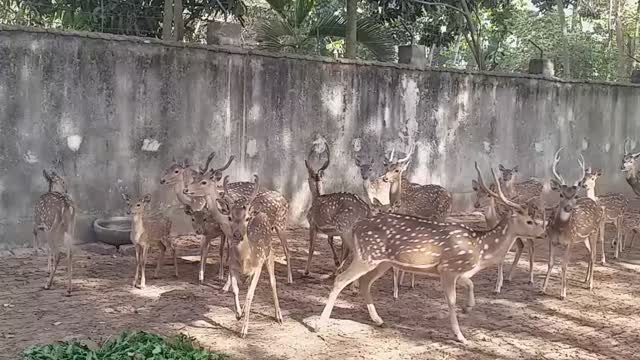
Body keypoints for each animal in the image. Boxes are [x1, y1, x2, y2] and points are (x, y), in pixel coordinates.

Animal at [316, 162, 544, 344]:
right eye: (529, 221)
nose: (542, 233)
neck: (481, 249)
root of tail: (357, 226)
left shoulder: (460, 272)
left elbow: (470, 285)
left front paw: (468, 307)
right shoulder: (448, 269)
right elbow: (451, 302)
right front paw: (461, 336)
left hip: (382, 261)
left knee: (364, 282)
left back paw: (379, 320)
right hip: (367, 256)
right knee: (341, 279)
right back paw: (320, 325)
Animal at [540, 148, 604, 300]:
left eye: (575, 196)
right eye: (561, 194)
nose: (569, 207)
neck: (560, 229)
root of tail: (593, 202)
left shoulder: (570, 241)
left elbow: (564, 265)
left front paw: (563, 293)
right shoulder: (551, 239)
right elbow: (550, 263)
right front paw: (543, 288)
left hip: (594, 231)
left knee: (594, 255)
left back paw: (590, 284)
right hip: (583, 238)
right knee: (589, 254)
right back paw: (586, 280)